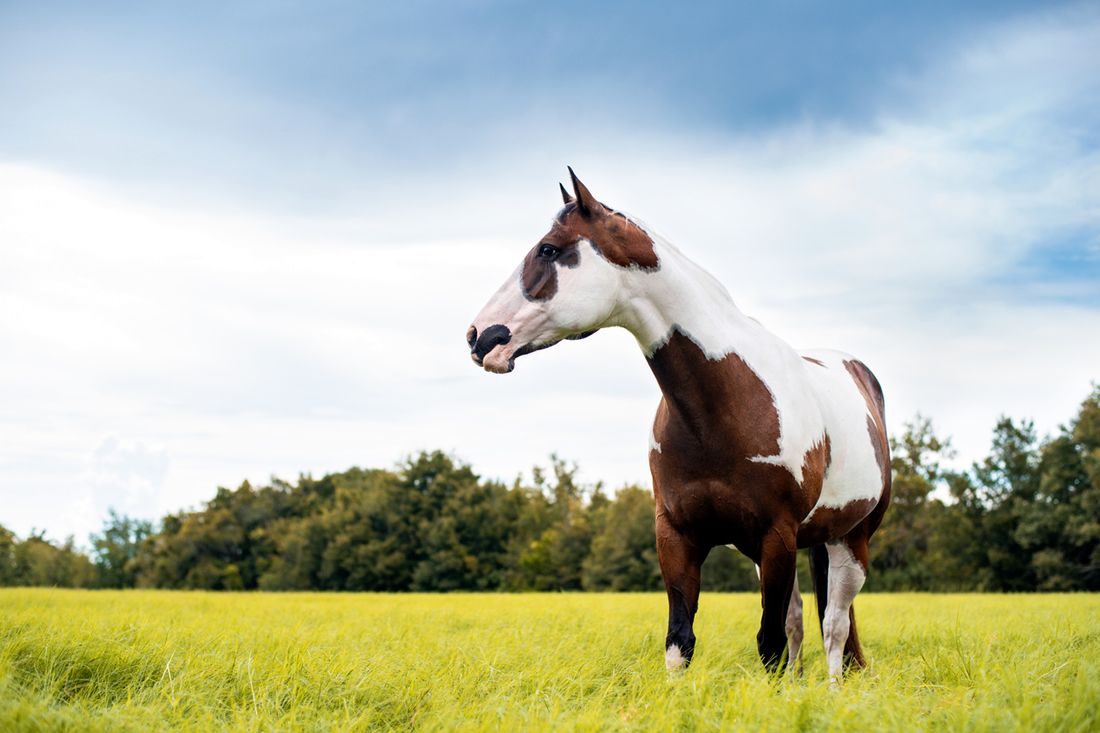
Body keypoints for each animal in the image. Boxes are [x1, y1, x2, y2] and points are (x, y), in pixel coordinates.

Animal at [462, 168, 884, 677]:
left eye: (548, 249)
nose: (480, 337)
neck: (723, 407)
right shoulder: (678, 537)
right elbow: (681, 641)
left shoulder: (776, 536)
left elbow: (769, 642)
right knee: (803, 620)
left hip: (849, 541)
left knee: (835, 628)